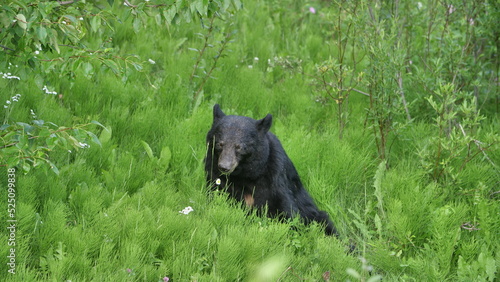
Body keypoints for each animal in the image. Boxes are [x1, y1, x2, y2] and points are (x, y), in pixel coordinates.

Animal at [205, 104, 338, 236]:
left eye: (239, 147)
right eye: (220, 144)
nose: (224, 166)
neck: (246, 174)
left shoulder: (275, 177)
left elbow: (285, 208)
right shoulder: (214, 173)